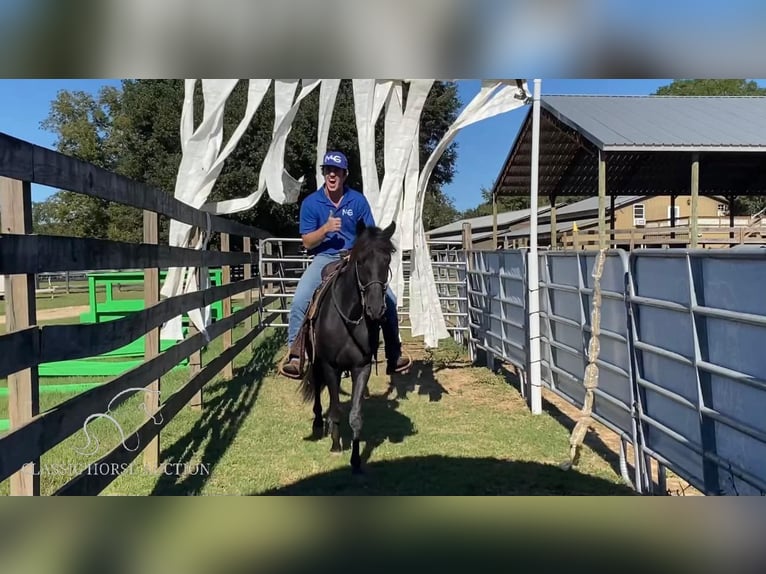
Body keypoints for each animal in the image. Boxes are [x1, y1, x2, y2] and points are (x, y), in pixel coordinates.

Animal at [298, 218, 400, 474]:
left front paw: (355, 460)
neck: (349, 317)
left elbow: (355, 415)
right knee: (317, 389)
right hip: (315, 361)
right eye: (360, 261)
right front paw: (336, 445)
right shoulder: (330, 366)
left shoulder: (361, 367)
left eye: (387, 260)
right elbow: (335, 409)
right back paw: (318, 423)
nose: (376, 309)